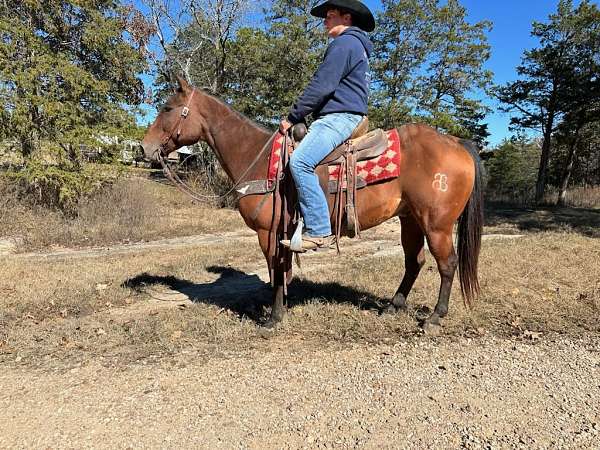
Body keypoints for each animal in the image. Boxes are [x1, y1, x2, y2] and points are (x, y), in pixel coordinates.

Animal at [143, 76, 486, 330]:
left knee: (447, 264)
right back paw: (393, 306)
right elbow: (280, 270)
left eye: (168, 107)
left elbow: (276, 271)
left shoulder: (269, 233)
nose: (145, 148)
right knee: (414, 261)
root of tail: (457, 142)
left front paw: (273, 318)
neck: (258, 158)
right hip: (410, 219)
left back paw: (434, 318)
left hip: (436, 223)